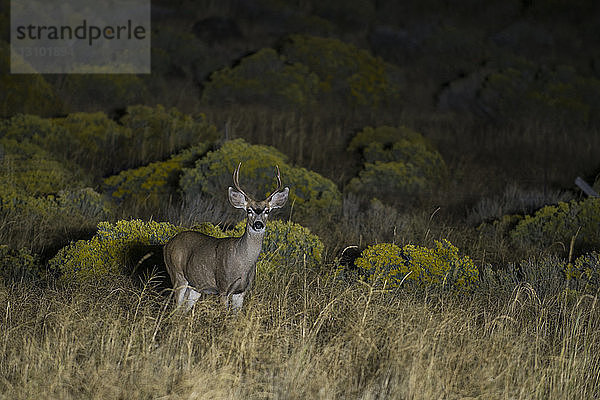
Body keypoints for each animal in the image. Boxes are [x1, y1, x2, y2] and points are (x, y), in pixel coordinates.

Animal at [162, 162, 288, 310]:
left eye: (267, 211)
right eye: (248, 210)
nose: (258, 224)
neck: (242, 263)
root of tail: (167, 245)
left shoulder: (241, 292)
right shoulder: (223, 287)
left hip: (195, 287)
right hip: (177, 275)